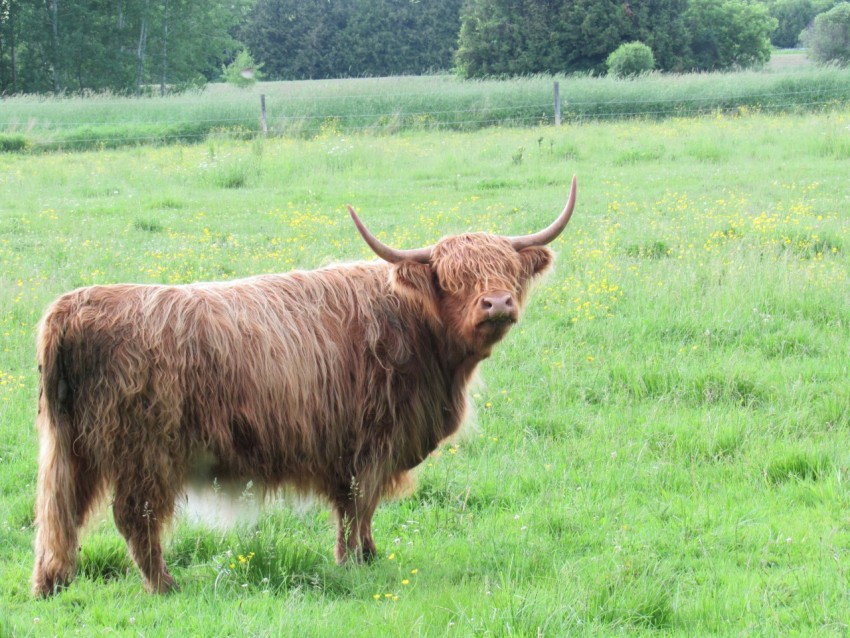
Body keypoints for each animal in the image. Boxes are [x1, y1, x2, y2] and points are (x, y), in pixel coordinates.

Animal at [31, 176, 576, 600]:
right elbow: (358, 508)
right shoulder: (369, 444)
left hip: (70, 449)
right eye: (453, 278)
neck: (421, 335)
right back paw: (165, 586)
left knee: (58, 513)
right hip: (144, 452)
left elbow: (358, 512)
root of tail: (72, 306)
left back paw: (51, 585)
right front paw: (353, 563)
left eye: (509, 270)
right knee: (133, 518)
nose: (498, 303)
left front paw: (369, 557)